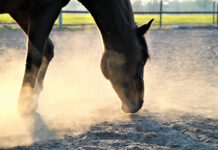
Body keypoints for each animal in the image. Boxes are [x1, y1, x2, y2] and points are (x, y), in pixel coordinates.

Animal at [0, 0, 153, 116]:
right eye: (142, 60)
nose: (138, 104)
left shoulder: (19, 11)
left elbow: (47, 49)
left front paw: (32, 99)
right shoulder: (45, 7)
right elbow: (34, 57)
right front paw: (24, 105)